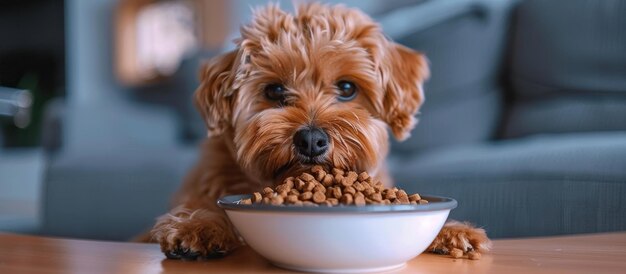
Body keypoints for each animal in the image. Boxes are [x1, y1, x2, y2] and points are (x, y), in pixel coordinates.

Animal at [149, 2, 490, 260]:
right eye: (274, 90)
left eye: (347, 88)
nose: (311, 140)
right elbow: (205, 208)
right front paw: (198, 226)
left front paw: (453, 231)